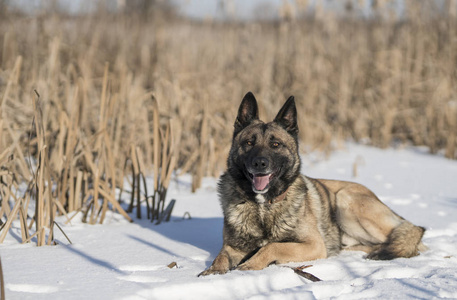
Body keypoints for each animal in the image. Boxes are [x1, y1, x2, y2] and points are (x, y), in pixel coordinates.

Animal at [198, 92, 426, 276]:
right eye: (248, 143)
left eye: (275, 144)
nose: (259, 163)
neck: (264, 206)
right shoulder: (232, 248)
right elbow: (220, 257)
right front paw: (212, 272)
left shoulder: (313, 245)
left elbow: (272, 246)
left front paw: (251, 265)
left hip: (346, 200)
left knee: (407, 242)